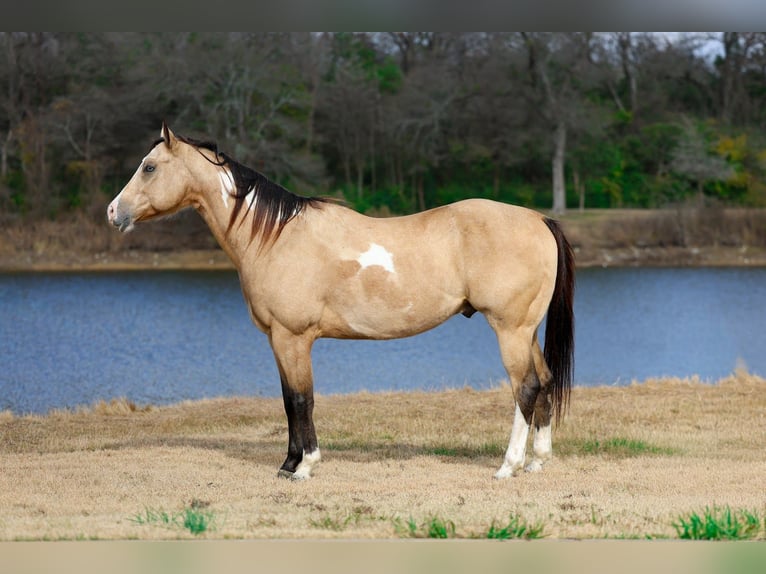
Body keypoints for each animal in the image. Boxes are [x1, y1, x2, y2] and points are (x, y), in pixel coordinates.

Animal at [107, 122, 575, 480]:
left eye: (149, 167)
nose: (113, 212)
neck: (277, 237)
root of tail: (538, 219)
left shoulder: (293, 338)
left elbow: (301, 399)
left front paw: (304, 466)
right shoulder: (278, 340)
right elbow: (287, 400)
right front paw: (287, 464)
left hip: (510, 330)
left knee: (525, 387)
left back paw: (508, 466)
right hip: (527, 330)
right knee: (545, 380)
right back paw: (537, 462)